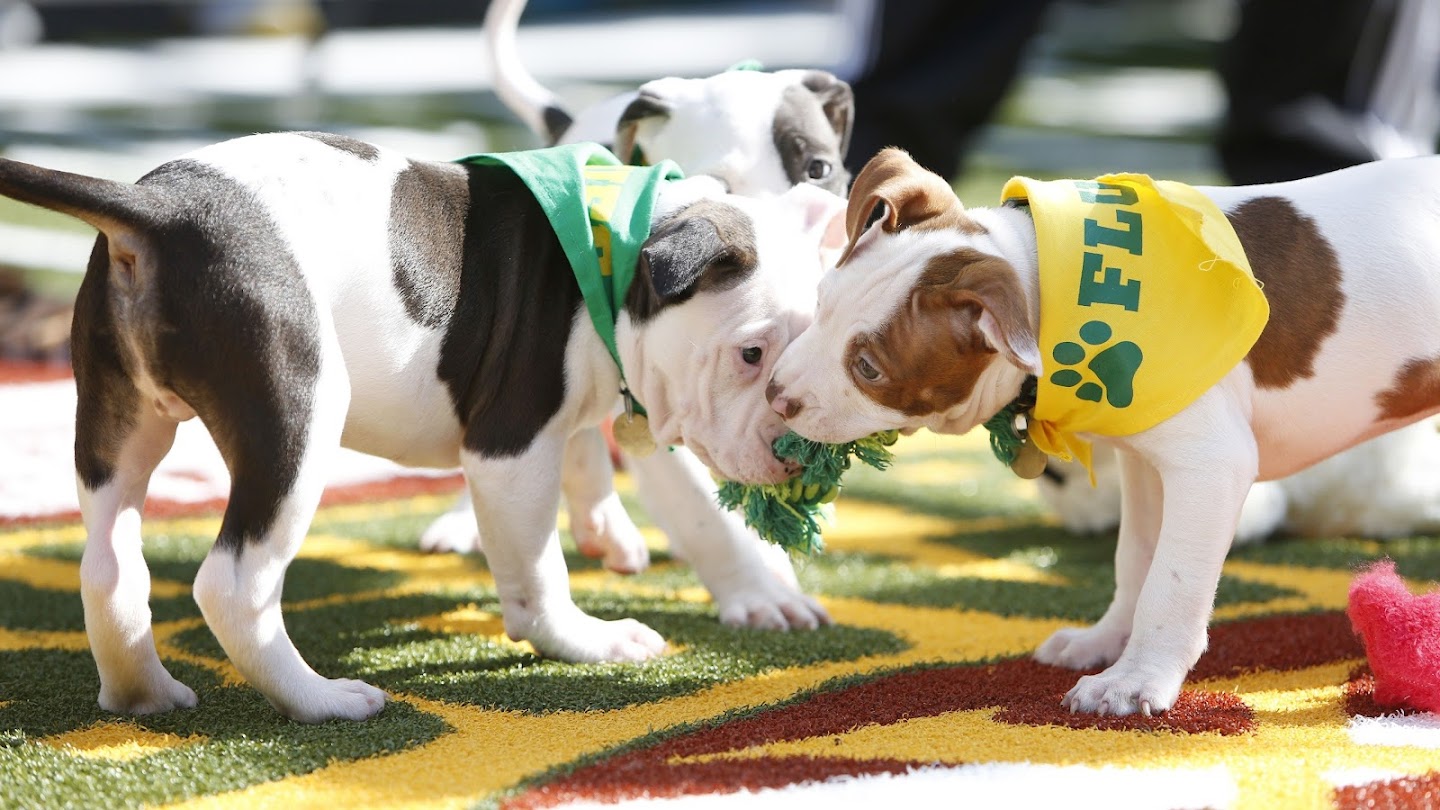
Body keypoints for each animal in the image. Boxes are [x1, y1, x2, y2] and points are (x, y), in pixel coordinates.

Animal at [0, 131, 840, 717]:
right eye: (751, 353)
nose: (798, 447)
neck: (621, 249)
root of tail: (158, 211)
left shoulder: (566, 413)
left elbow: (592, 463)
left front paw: (612, 534)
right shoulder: (511, 447)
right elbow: (538, 566)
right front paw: (584, 639)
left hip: (118, 419)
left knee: (110, 565)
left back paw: (142, 693)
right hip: (296, 416)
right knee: (234, 584)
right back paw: (320, 701)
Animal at [771, 148, 1440, 714]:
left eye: (868, 368)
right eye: (821, 301)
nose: (776, 394)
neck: (1053, 282)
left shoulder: (1211, 465)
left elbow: (1170, 581)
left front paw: (1137, 680)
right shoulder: (1147, 463)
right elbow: (1137, 558)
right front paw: (1107, 642)